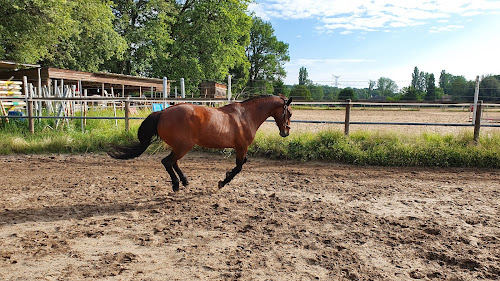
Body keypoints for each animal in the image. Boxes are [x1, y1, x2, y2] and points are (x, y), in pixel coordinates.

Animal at [107, 95, 292, 191]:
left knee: (173, 162)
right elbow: (239, 167)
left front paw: (225, 177)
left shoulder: (241, 148)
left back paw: (184, 181)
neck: (245, 115)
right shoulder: (242, 147)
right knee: (167, 162)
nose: (286, 132)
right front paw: (223, 182)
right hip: (183, 146)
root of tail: (162, 112)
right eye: (289, 113)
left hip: (179, 146)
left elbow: (242, 164)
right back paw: (176, 185)